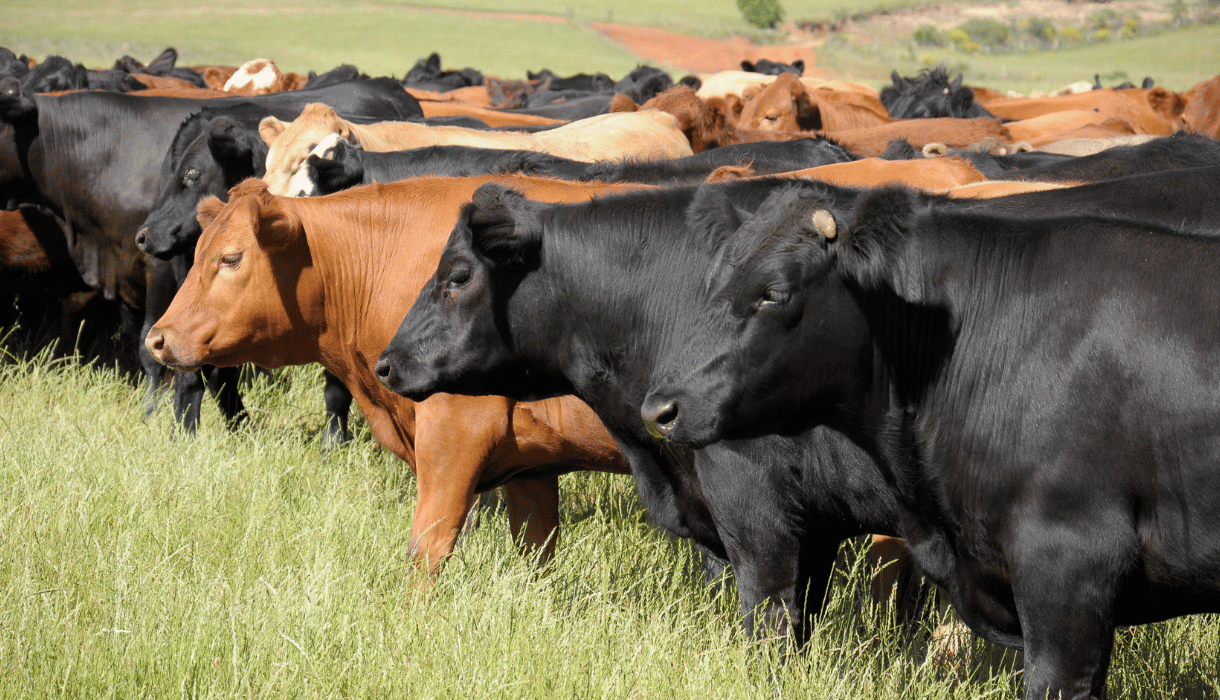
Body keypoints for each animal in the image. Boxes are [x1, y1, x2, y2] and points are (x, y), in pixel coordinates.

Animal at [144, 175, 645, 571]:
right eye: (198, 253)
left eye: (231, 258)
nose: (157, 338)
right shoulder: (532, 460)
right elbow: (535, 548)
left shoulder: (455, 432)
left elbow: (428, 547)